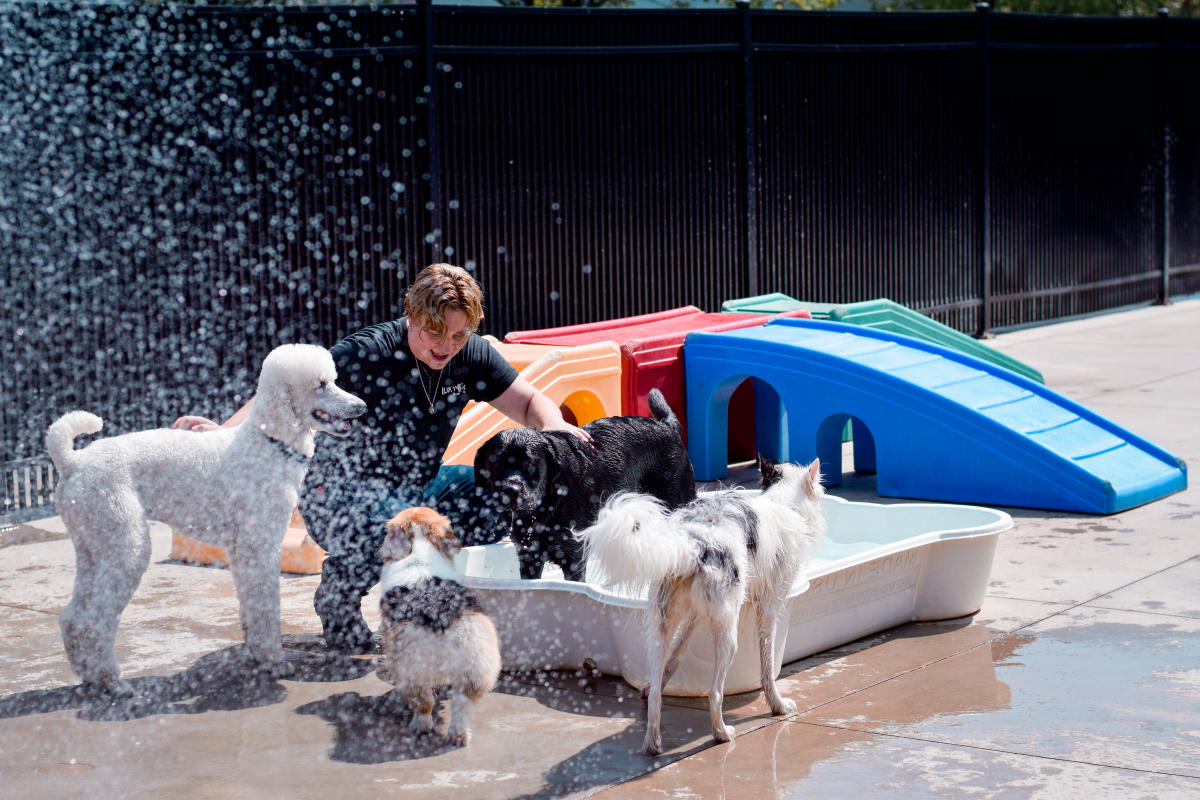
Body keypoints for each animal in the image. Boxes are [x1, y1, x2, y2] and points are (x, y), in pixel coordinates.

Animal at [46, 345, 364, 695]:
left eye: (333, 380)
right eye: (321, 385)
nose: (361, 407)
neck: (269, 441)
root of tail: (72, 462)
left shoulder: (242, 551)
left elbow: (251, 605)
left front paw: (259, 654)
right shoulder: (259, 546)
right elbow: (265, 606)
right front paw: (274, 661)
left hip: (93, 544)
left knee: (74, 615)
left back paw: (89, 673)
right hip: (122, 541)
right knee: (92, 618)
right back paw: (109, 680)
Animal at [379, 506, 501, 743]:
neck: (418, 555)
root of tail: (440, 617)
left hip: (411, 668)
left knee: (424, 703)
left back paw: (419, 726)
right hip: (474, 665)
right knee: (461, 704)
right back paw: (459, 735)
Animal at [468, 388, 696, 582]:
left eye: (530, 464)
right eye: (496, 462)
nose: (511, 490)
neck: (551, 500)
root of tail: (666, 426)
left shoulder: (573, 554)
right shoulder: (528, 554)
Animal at [578, 455, 825, 758]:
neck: (782, 502)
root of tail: (693, 544)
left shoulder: (693, 616)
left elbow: (674, 659)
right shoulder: (768, 609)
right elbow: (767, 669)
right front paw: (777, 705)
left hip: (661, 628)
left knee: (658, 691)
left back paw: (653, 742)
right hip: (728, 636)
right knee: (714, 692)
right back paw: (721, 733)